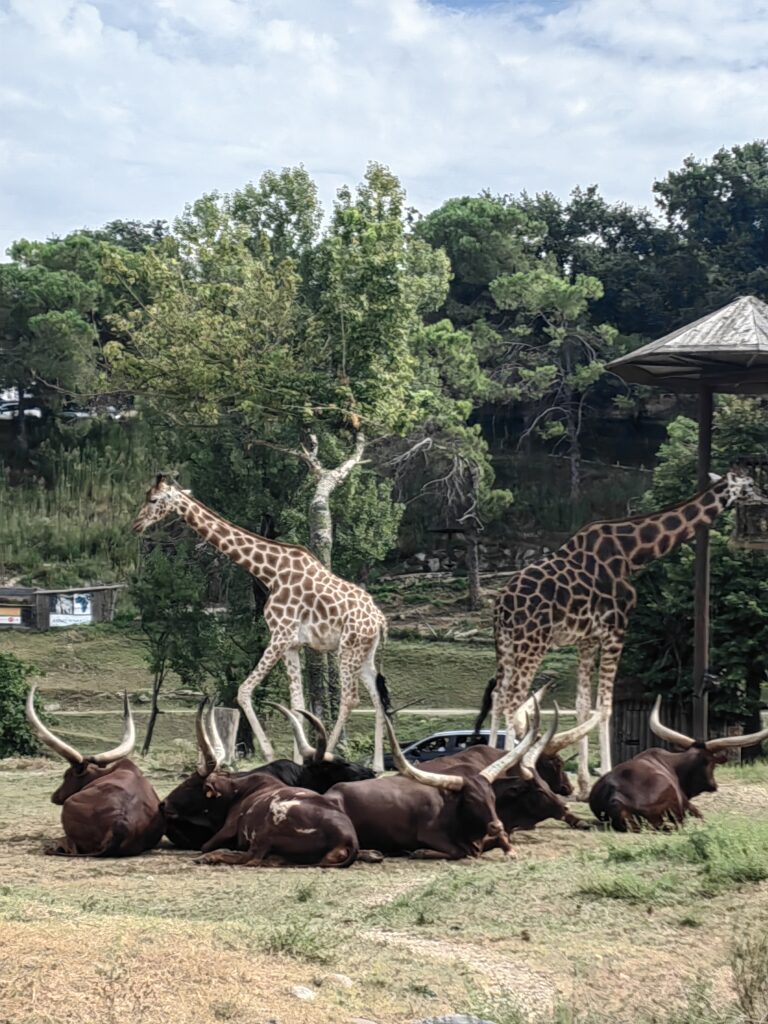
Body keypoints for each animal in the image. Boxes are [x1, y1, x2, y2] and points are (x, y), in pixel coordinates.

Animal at [132, 475, 391, 770]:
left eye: (153, 499)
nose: (136, 524)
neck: (270, 571)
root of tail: (380, 620)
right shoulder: (291, 643)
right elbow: (297, 703)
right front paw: (298, 759)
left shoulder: (279, 635)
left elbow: (244, 690)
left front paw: (272, 754)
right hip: (365, 653)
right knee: (377, 697)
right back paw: (378, 766)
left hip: (347, 648)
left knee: (350, 698)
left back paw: (330, 755)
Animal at [489, 471, 761, 798]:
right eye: (750, 484)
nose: (764, 495)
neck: (633, 553)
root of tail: (502, 604)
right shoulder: (616, 629)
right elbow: (604, 706)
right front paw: (606, 774)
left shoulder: (587, 638)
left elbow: (583, 705)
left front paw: (583, 786)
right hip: (532, 641)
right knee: (512, 698)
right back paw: (510, 768)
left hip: (505, 643)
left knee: (498, 695)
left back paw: (491, 759)